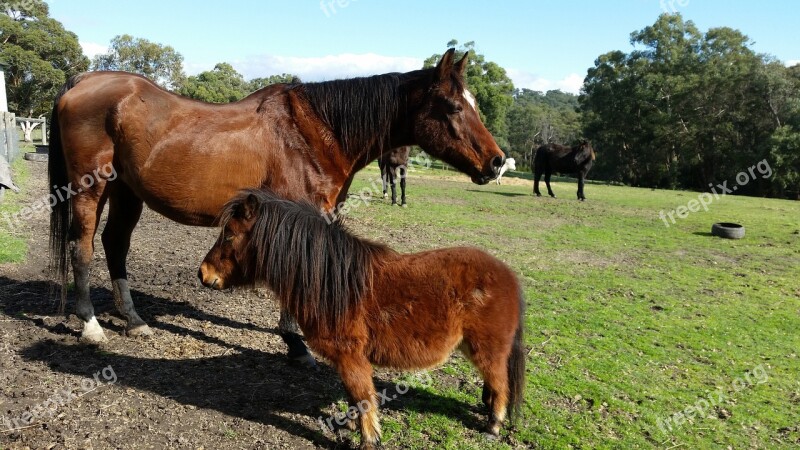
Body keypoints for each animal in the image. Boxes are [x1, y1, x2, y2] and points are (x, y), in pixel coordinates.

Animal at [47, 47, 504, 368]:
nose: (497, 162)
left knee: (115, 245)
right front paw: (296, 344)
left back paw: (135, 321)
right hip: (90, 188)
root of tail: (82, 81)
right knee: (82, 247)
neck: (315, 132)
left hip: (127, 192)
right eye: (453, 106)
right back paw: (91, 326)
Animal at [198, 189, 524, 446]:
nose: (203, 274)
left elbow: (363, 397)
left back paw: (493, 426)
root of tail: (508, 276)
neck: (332, 283)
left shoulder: (351, 357)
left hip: (488, 350)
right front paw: (353, 425)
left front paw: (369, 439)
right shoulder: (347, 360)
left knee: (500, 384)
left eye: (229, 234)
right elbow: (354, 398)